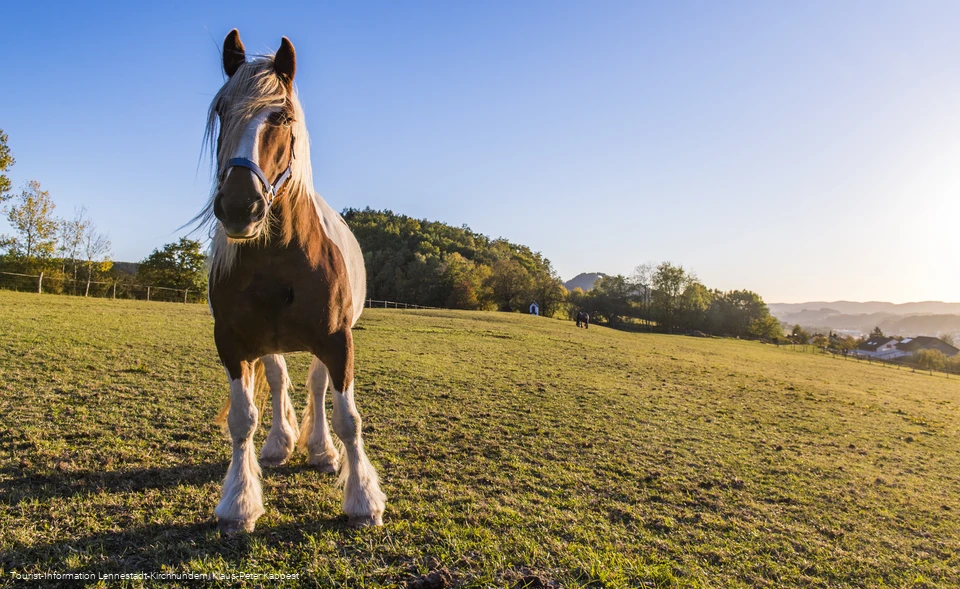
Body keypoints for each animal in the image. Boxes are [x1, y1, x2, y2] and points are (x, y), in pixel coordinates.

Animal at [197, 30, 385, 534]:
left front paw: (363, 499)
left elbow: (348, 419)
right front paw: (238, 504)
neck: (280, 257)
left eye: (280, 115)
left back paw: (320, 450)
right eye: (222, 111)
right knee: (281, 380)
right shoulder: (233, 343)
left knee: (318, 387)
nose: (239, 206)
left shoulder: (339, 341)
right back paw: (279, 444)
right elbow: (242, 419)